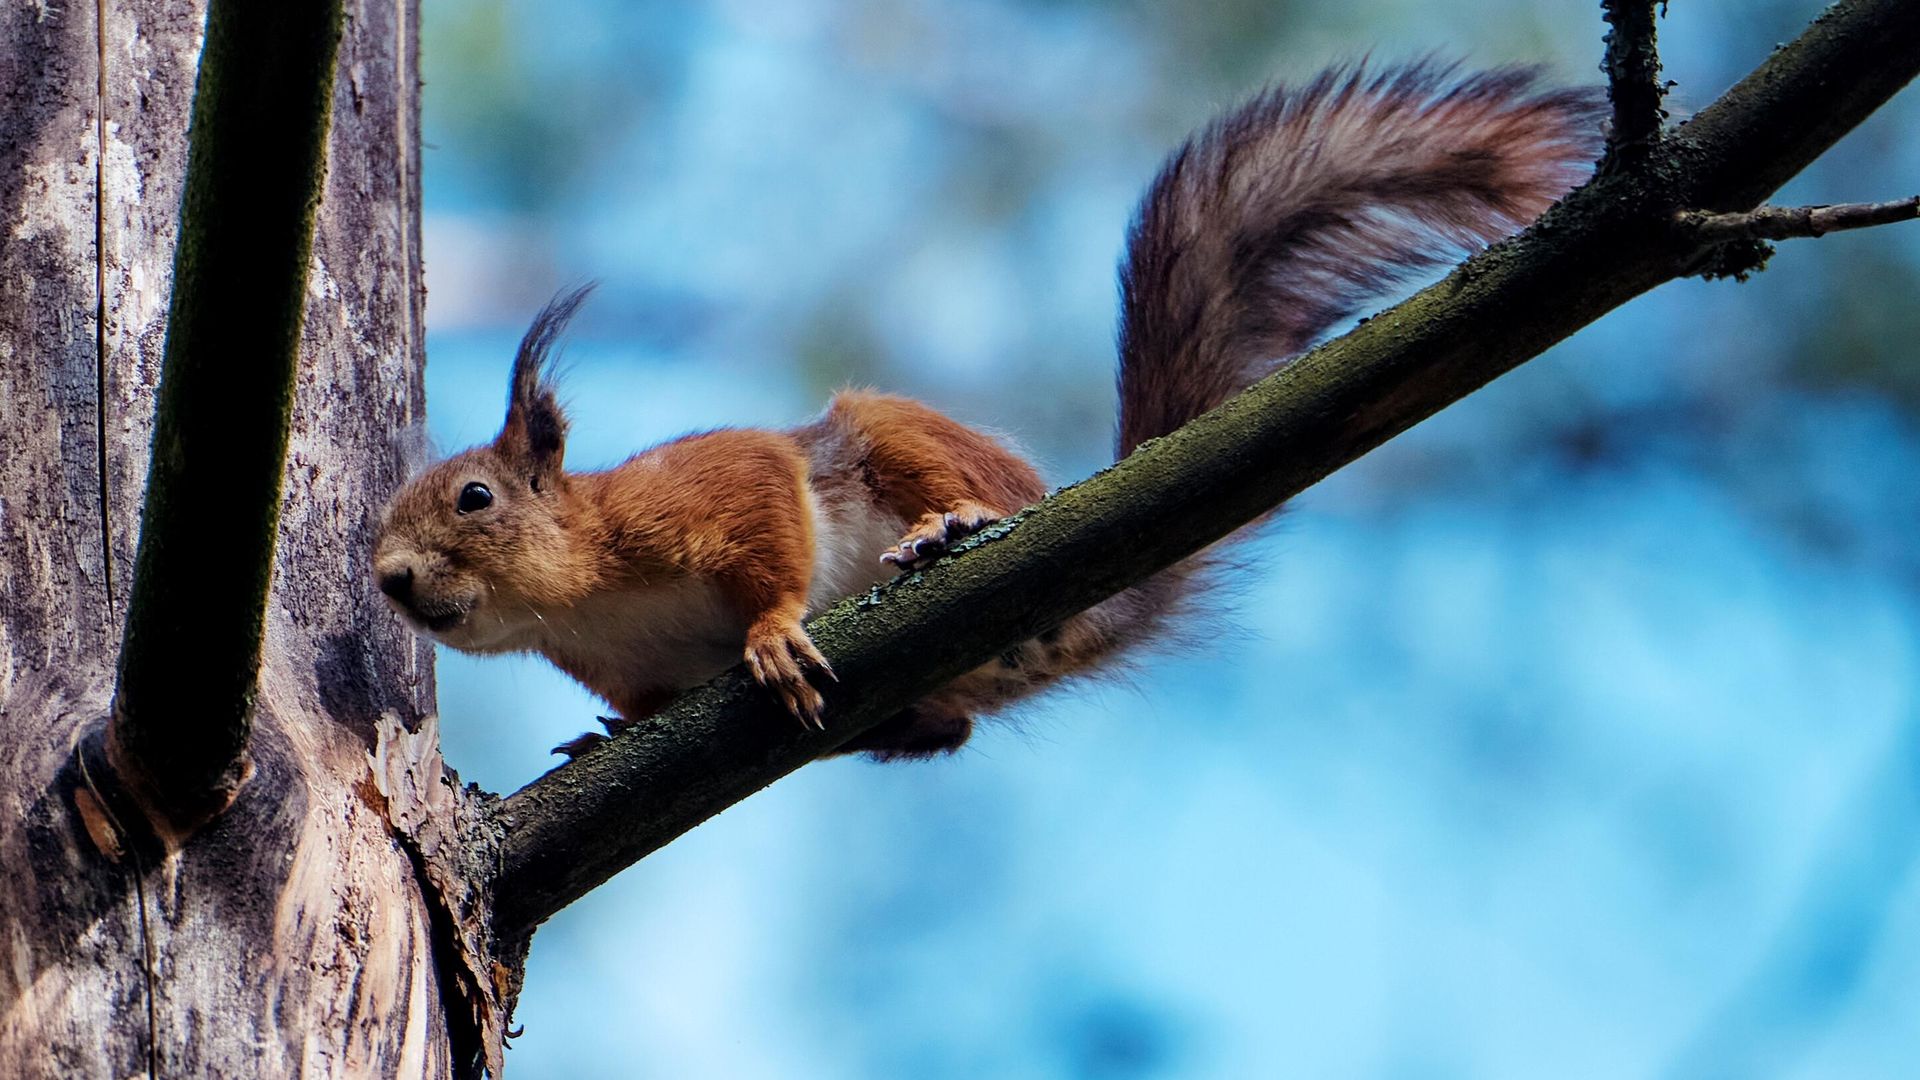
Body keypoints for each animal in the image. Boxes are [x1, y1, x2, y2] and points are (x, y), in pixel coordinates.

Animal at [373, 61, 1602, 760]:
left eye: (473, 497)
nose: (387, 580)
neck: (587, 597)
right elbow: (632, 704)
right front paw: (603, 739)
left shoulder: (703, 492)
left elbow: (770, 523)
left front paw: (770, 633)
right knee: (949, 730)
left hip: (896, 437)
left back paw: (951, 527)